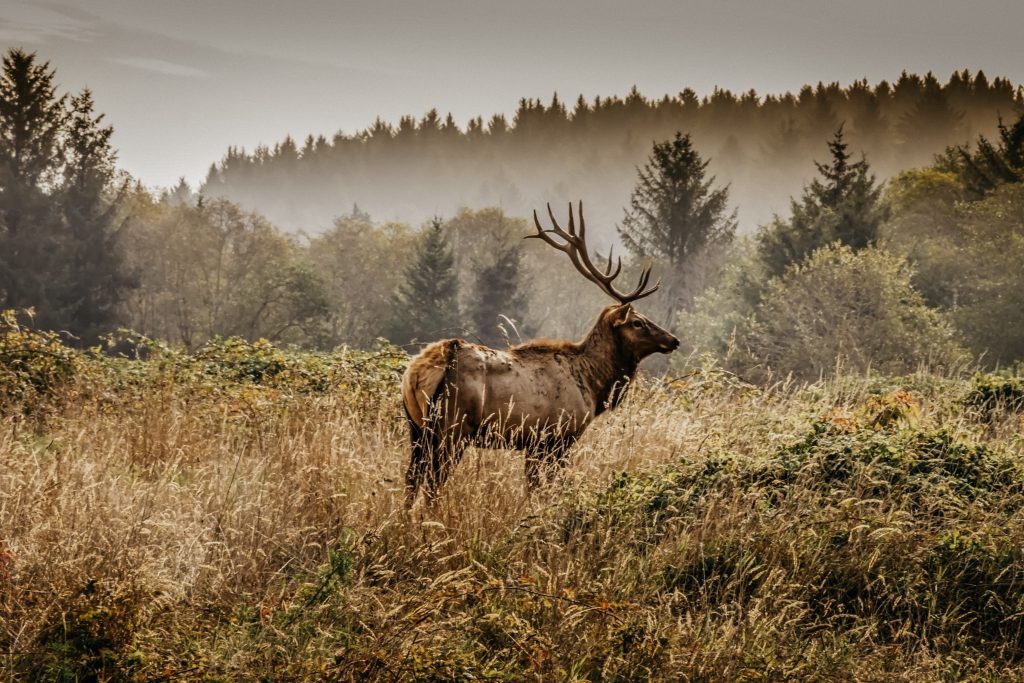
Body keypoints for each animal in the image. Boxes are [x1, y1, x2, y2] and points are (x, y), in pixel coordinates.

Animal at [401, 200, 679, 505]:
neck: (592, 385)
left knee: (411, 479)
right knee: (433, 481)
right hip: (452, 426)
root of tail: (419, 371)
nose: (674, 340)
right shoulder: (558, 436)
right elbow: (547, 487)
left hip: (417, 428)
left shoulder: (534, 442)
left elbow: (533, 486)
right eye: (637, 322)